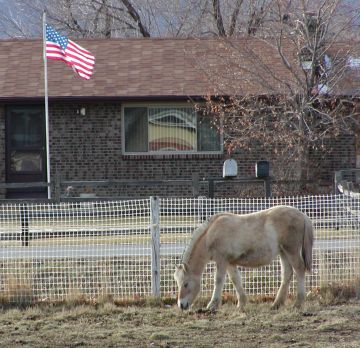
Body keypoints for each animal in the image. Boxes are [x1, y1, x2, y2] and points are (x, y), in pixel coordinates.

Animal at [174, 205, 312, 312]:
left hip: (291, 250)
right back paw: (276, 304)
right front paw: (241, 304)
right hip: (284, 252)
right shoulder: (230, 262)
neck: (211, 235)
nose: (181, 305)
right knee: (287, 273)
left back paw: (298, 303)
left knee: (299, 269)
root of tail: (302, 215)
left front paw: (212, 305)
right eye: (178, 283)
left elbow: (218, 280)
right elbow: (235, 280)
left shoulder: (222, 260)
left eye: (186, 284)